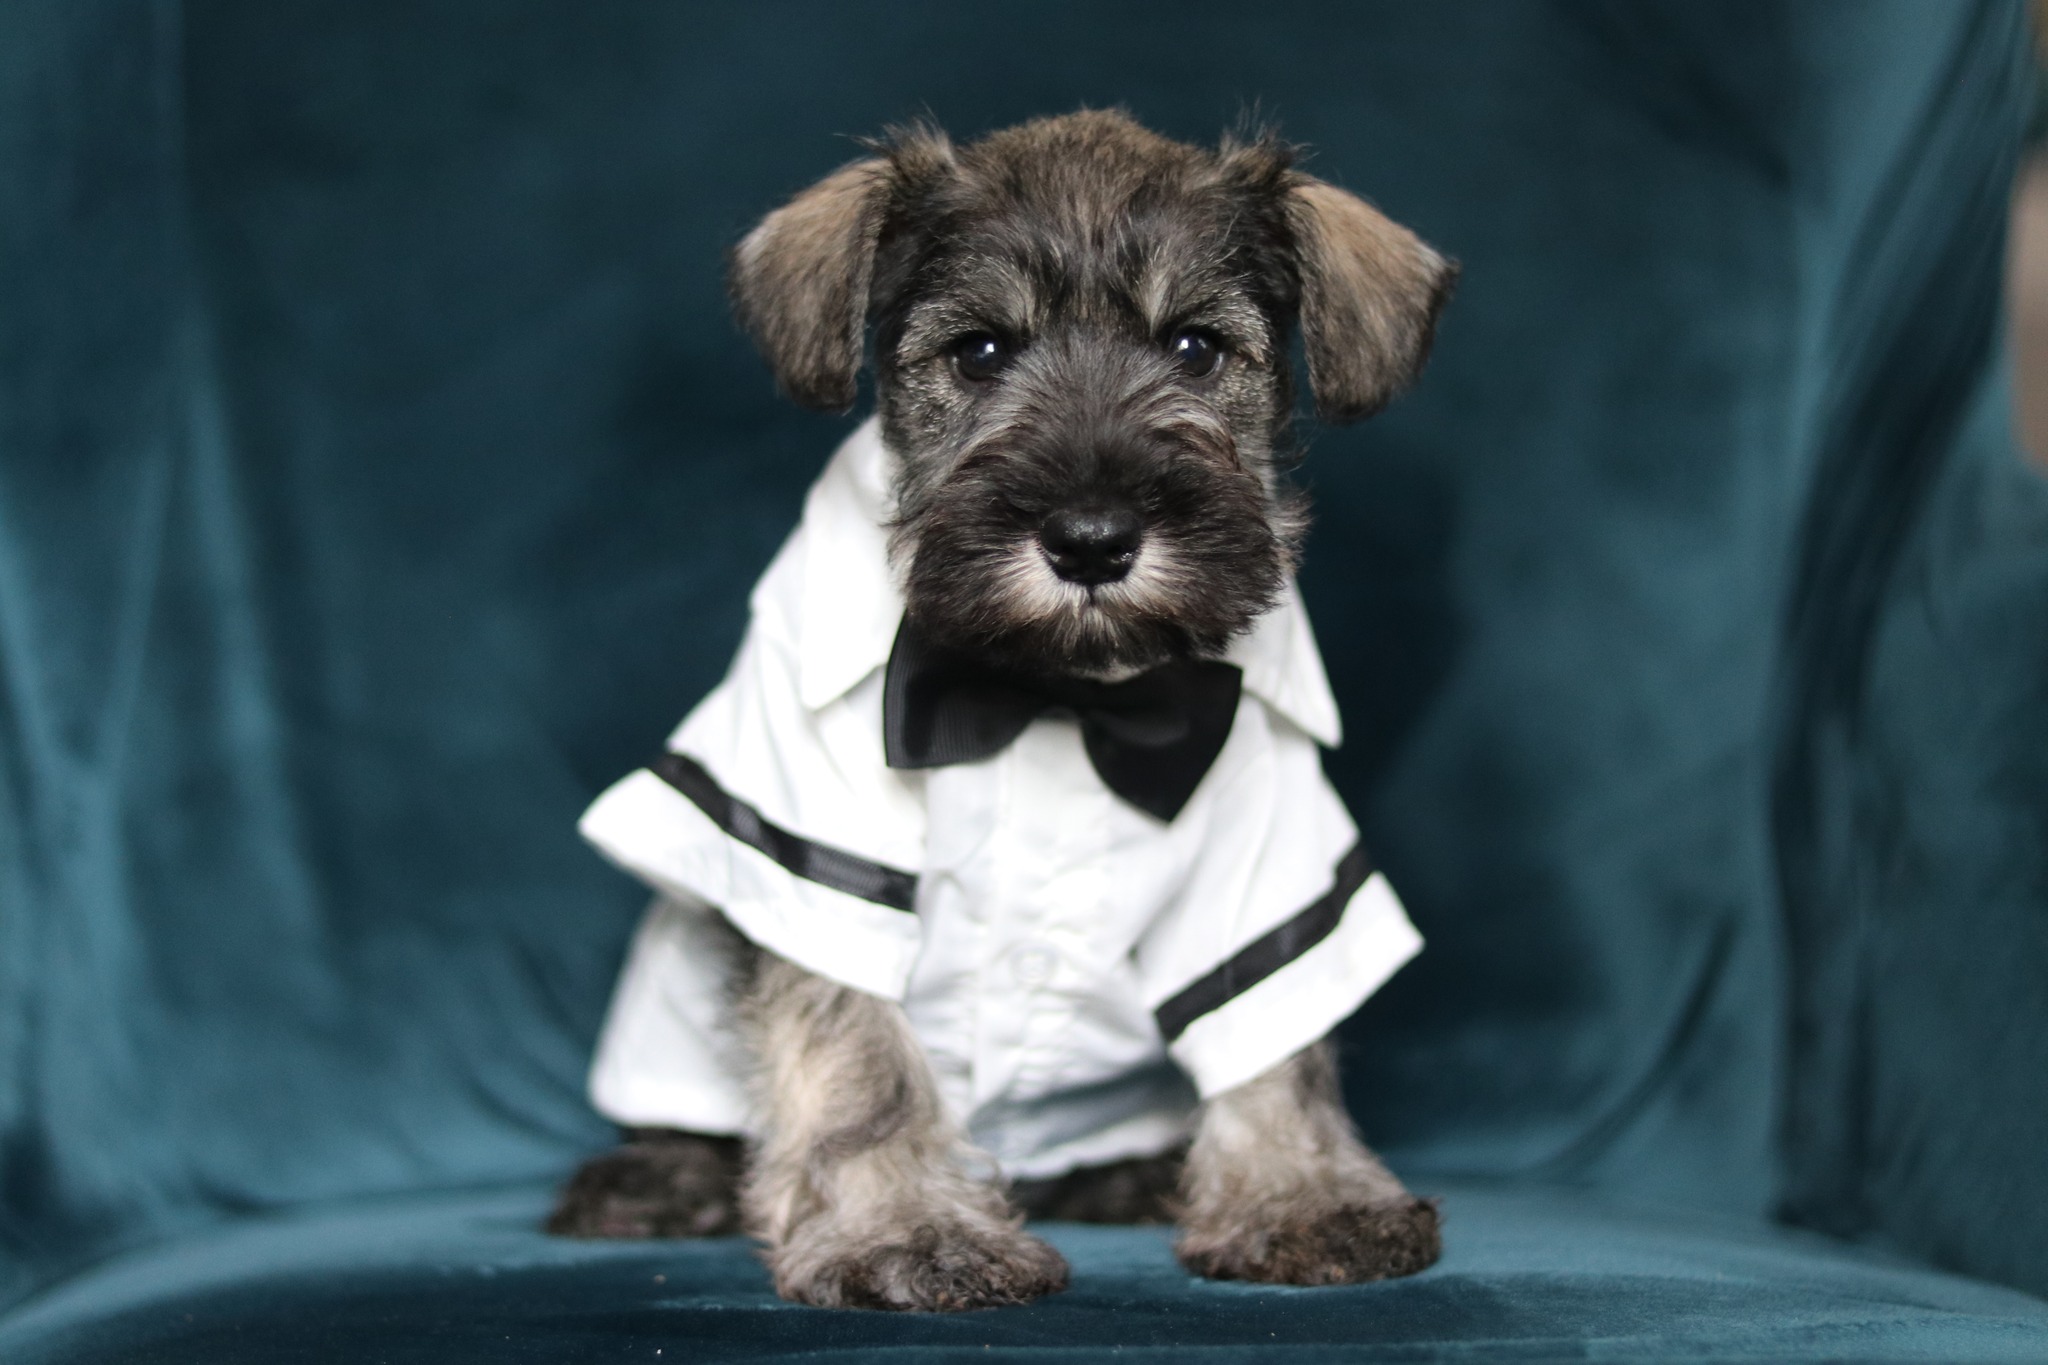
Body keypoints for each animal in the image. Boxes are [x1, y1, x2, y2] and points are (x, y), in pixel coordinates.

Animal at [552, 112, 1458, 1309]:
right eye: (978, 352)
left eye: (1196, 349)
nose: (1091, 539)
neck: (1056, 695)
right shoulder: (819, 846)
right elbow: (861, 1060)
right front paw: (906, 1231)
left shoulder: (1266, 856)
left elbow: (1275, 1044)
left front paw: (1302, 1195)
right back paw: (653, 1180)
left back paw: (1131, 1172)